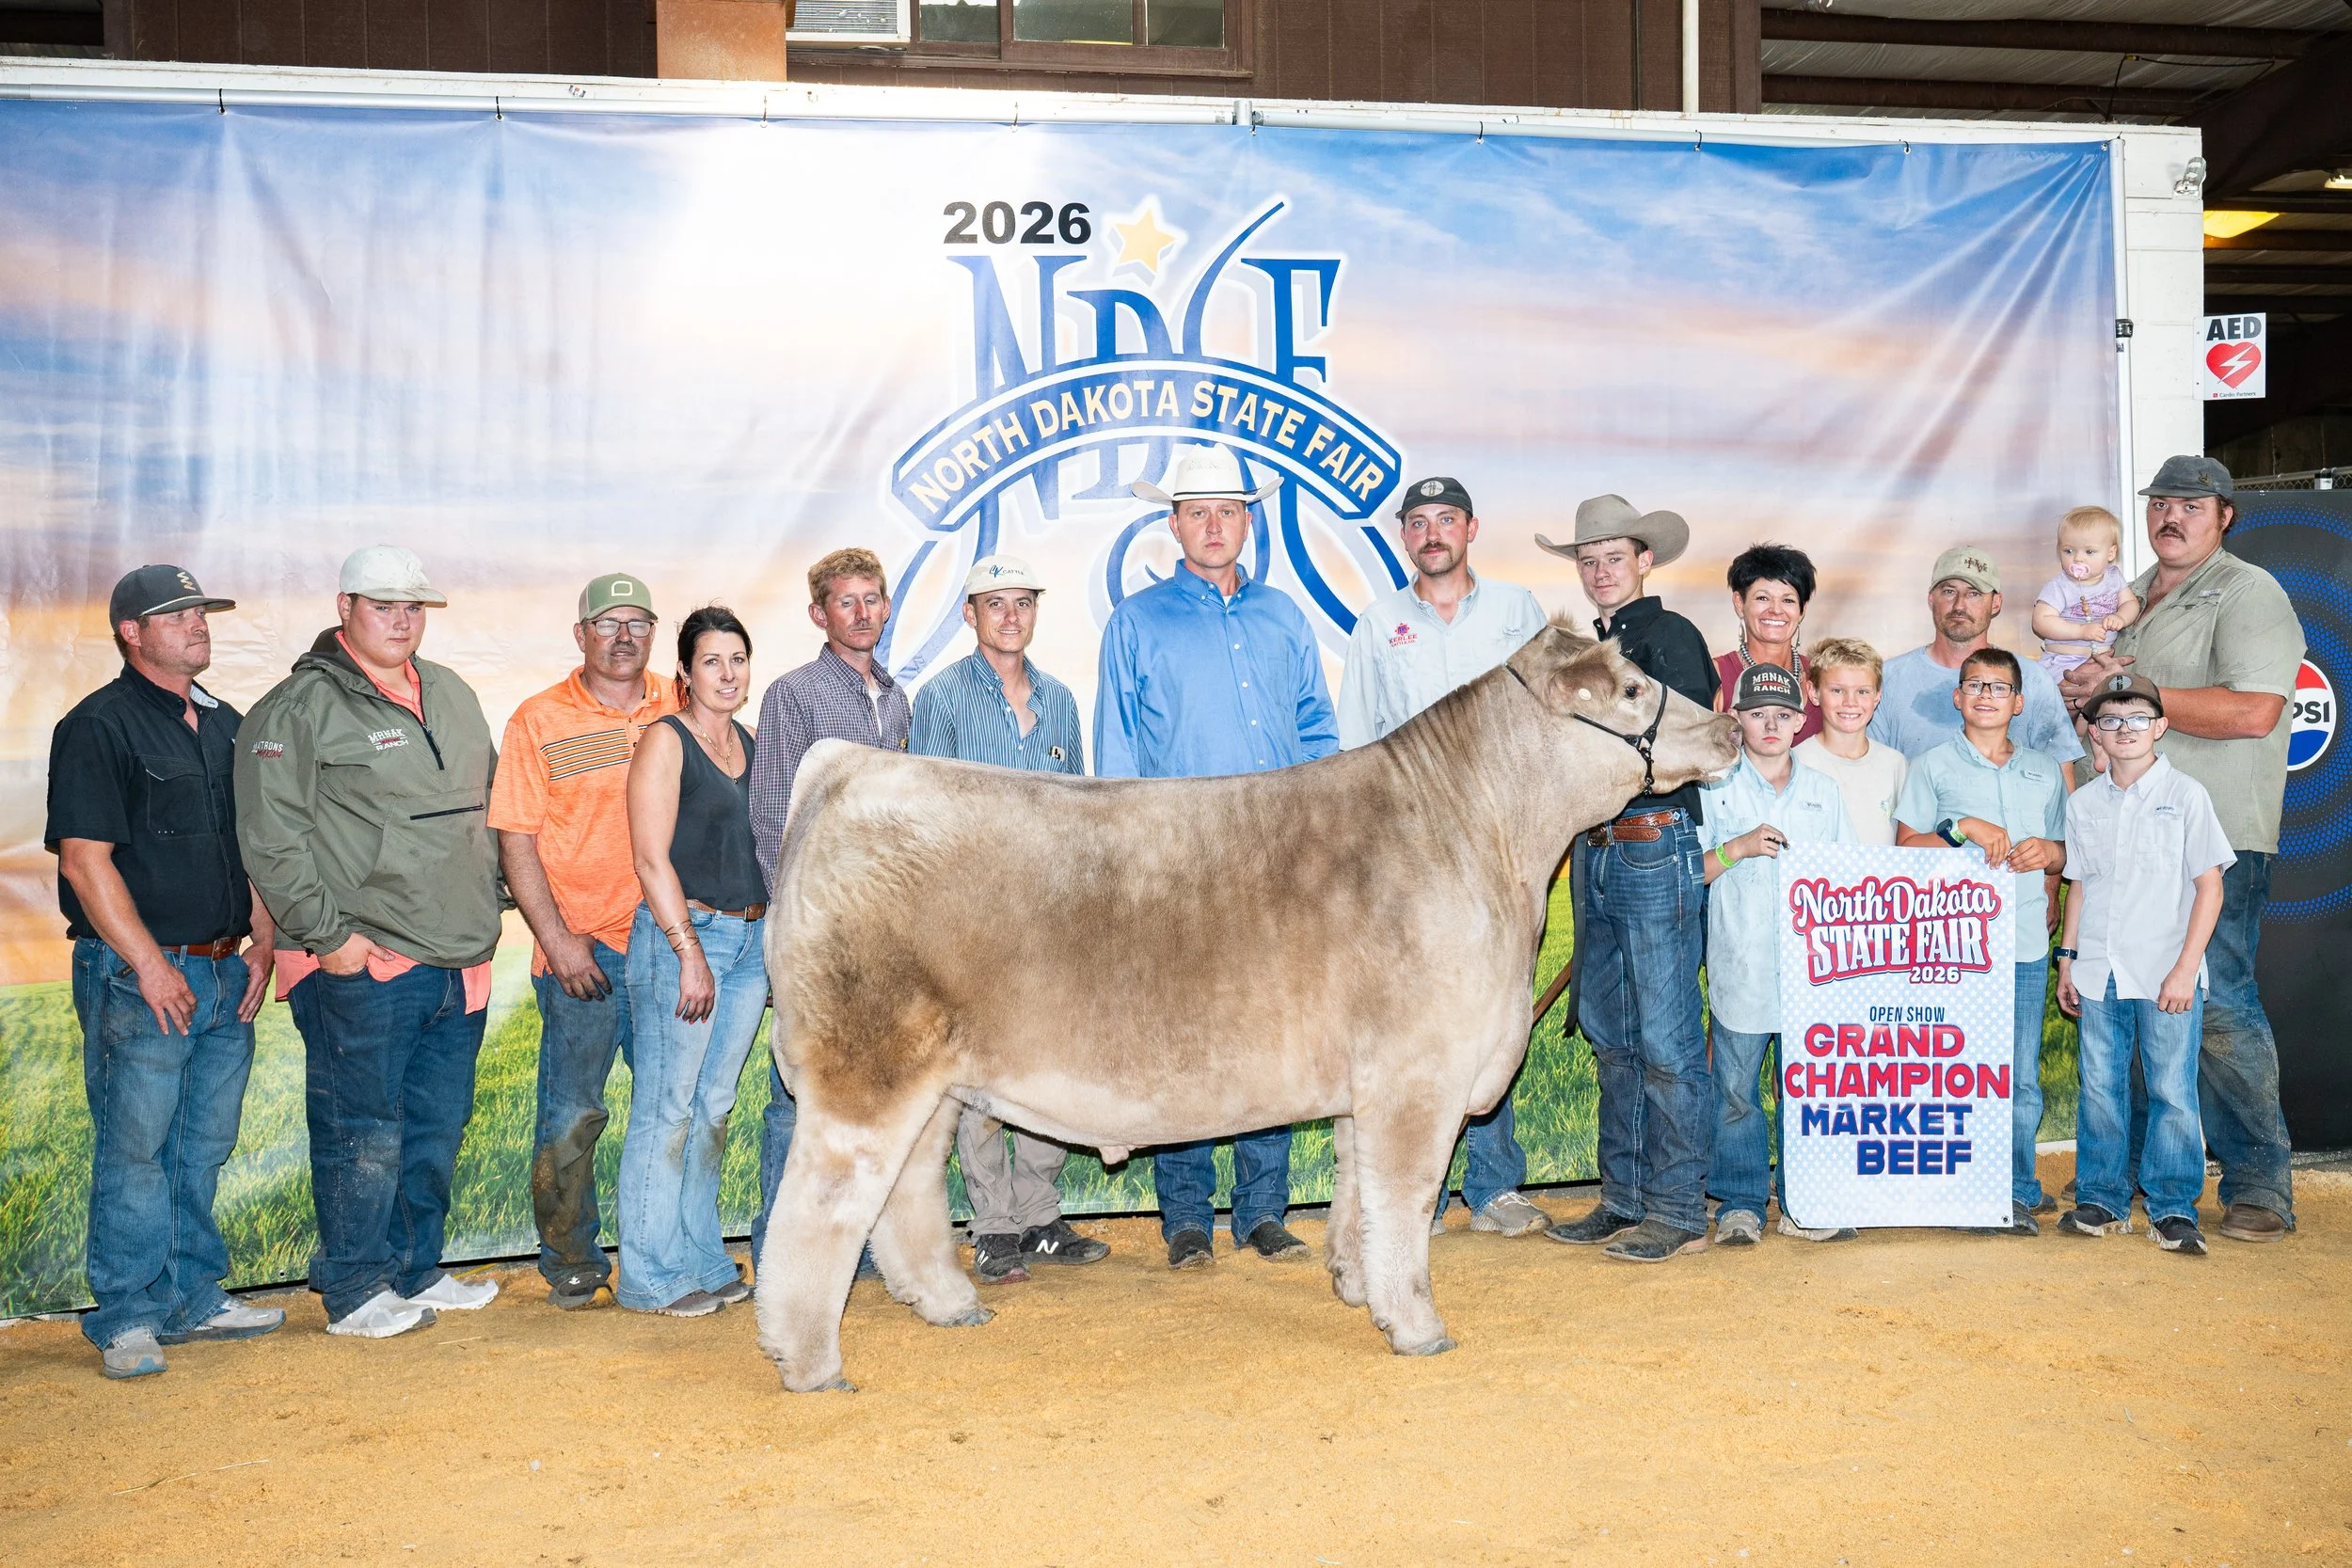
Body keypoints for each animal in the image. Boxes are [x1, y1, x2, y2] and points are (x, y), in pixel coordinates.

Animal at [753, 621, 1739, 1391]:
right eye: (1633, 688)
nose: (1731, 723)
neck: (1485, 840)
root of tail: (849, 766)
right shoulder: (1418, 1076)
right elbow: (1407, 1201)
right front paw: (1418, 1326)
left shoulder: (1368, 1085)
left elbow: (1357, 1193)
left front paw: (1355, 1285)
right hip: (865, 1076)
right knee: (814, 1210)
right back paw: (809, 1358)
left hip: (932, 1084)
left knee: (906, 1196)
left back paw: (948, 1303)